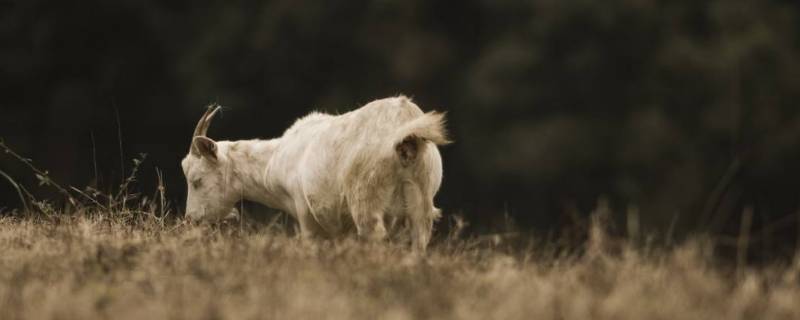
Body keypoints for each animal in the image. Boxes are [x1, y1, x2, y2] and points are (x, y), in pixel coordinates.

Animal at [180, 96, 450, 249]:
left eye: (196, 180)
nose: (191, 220)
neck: (278, 160)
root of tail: (405, 129)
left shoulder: (306, 216)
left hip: (366, 195)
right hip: (421, 197)